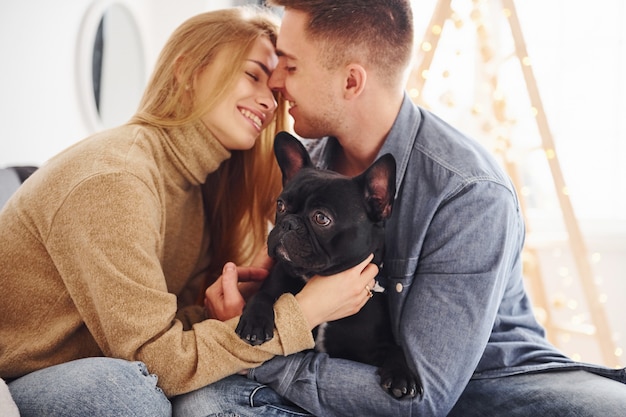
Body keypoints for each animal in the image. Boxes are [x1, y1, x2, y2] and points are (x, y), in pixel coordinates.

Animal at [236, 132, 422, 398]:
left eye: (321, 218)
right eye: (280, 205)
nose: (288, 224)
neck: (313, 276)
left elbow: (395, 349)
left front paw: (402, 375)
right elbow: (263, 295)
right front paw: (255, 322)